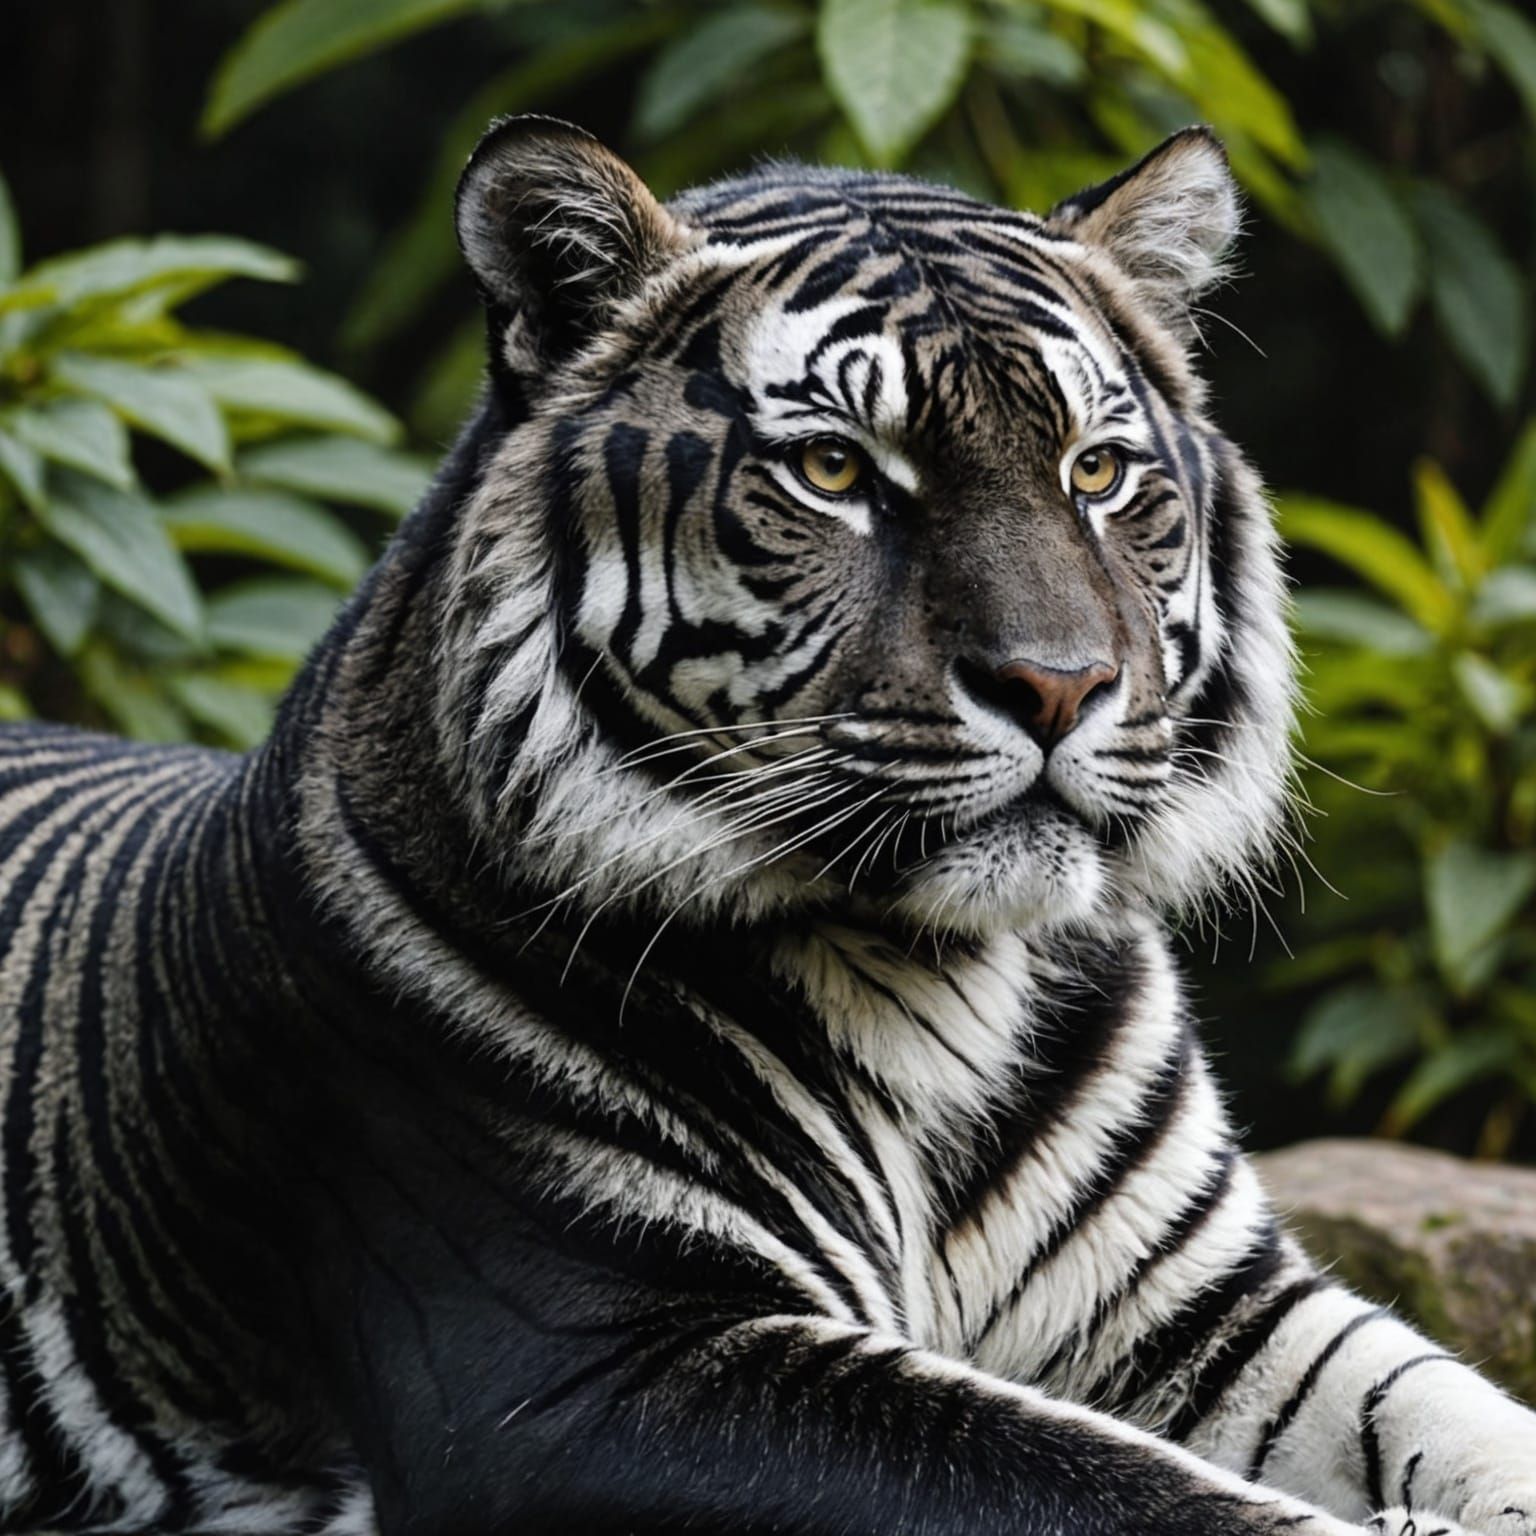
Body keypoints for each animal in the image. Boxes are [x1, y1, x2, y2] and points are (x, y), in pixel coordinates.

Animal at [0, 111, 1532, 1536]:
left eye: (1096, 473)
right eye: (838, 473)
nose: (1057, 684)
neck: (946, 980)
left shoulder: (1210, 1300)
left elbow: (1461, 1416)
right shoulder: (598, 1365)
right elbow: (1121, 1489)